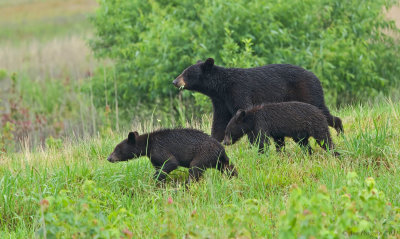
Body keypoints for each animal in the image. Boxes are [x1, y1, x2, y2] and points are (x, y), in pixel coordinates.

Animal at [107, 129, 238, 183]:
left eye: (117, 149)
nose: (109, 158)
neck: (148, 145)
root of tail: (221, 148)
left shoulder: (159, 149)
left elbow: (171, 162)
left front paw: (156, 179)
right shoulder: (153, 157)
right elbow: (159, 166)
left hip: (203, 154)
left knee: (194, 169)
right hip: (218, 160)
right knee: (229, 167)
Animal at [173, 58, 344, 142]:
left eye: (186, 73)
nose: (175, 81)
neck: (221, 87)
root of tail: (316, 77)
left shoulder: (239, 91)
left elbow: (246, 113)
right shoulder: (220, 101)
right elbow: (219, 123)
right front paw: (213, 140)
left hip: (307, 92)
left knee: (323, 112)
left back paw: (340, 130)